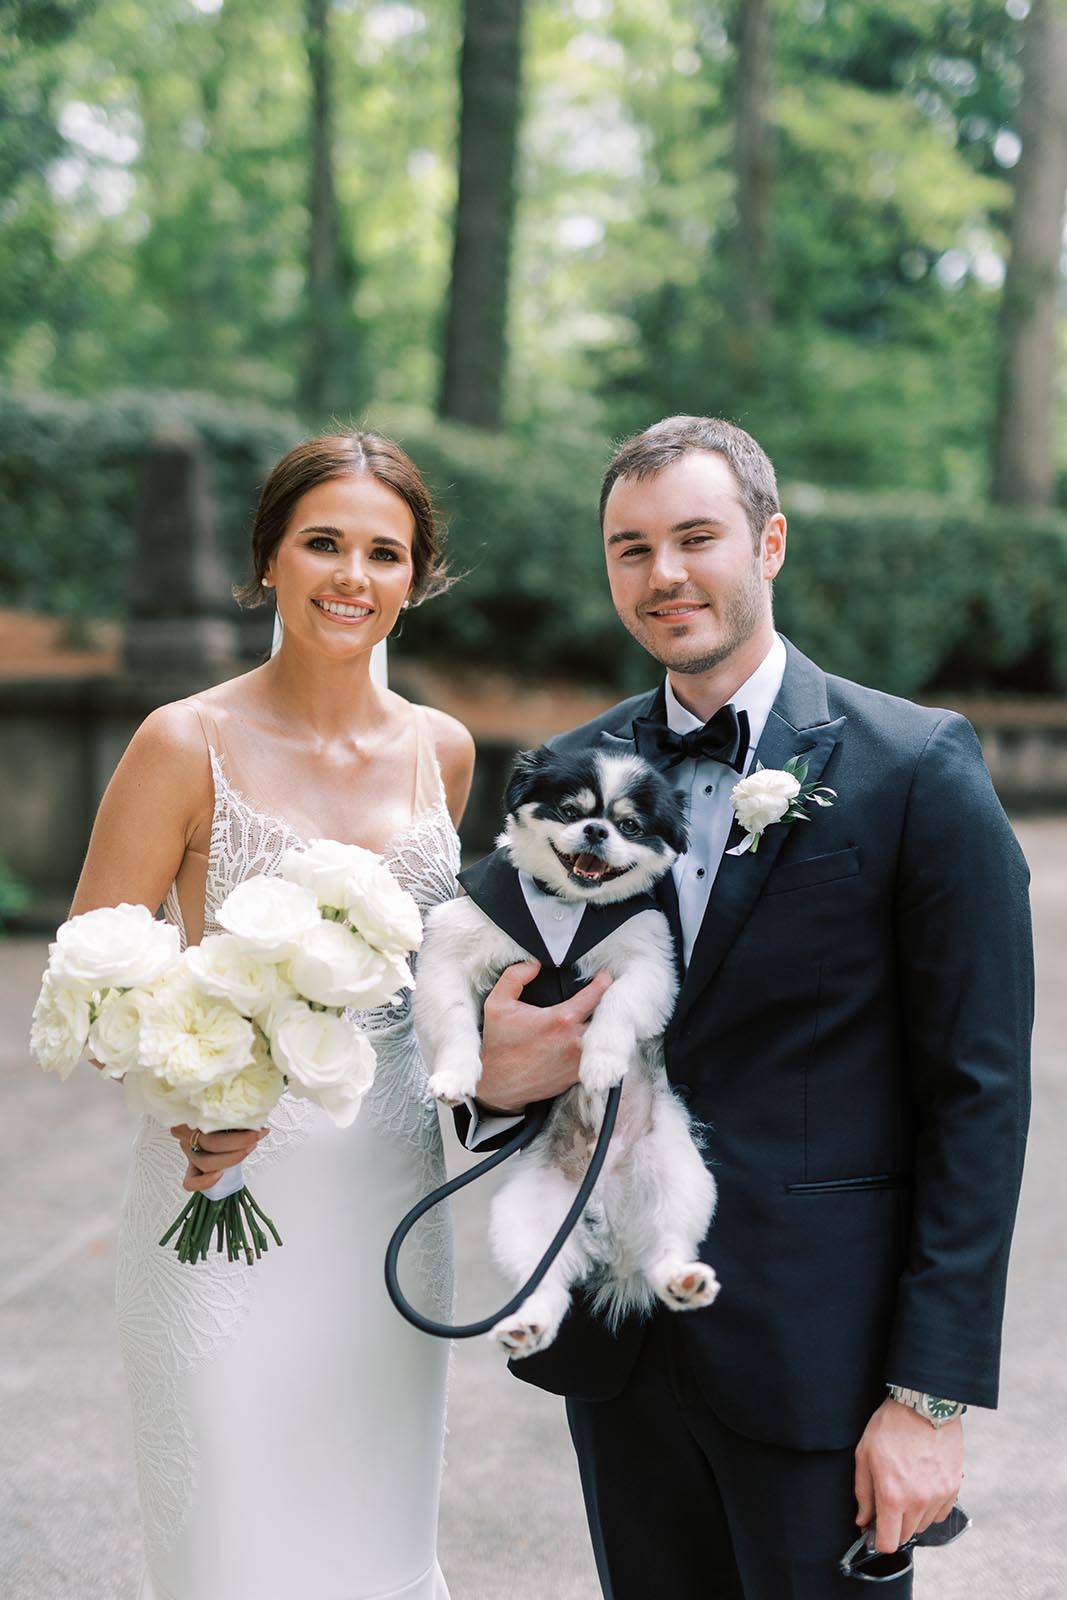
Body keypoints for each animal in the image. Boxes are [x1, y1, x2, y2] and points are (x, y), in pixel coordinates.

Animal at [412, 742, 723, 1356]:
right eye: (569, 811)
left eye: (630, 826)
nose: (598, 830)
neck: (565, 905)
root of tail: (602, 1206)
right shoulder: (451, 957)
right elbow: (458, 1023)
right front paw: (456, 1077)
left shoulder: (648, 965)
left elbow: (616, 1007)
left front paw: (601, 1062)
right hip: (527, 1216)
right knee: (546, 1282)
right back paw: (525, 1324)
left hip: (678, 1175)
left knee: (666, 1246)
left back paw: (684, 1279)